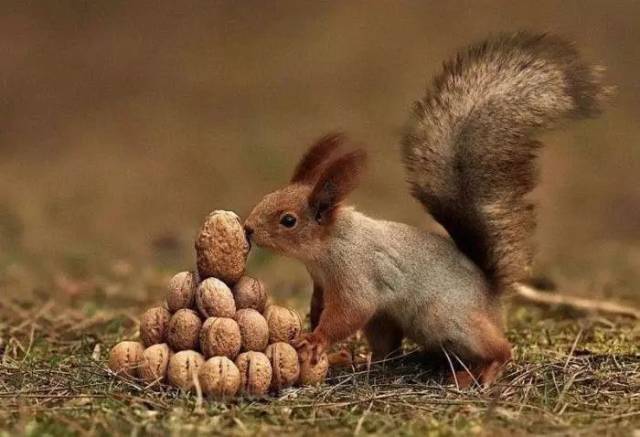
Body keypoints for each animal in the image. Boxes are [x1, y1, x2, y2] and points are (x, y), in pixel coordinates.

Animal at [242, 31, 608, 384]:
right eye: (271, 196)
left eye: (288, 220)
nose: (248, 229)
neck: (328, 244)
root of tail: (490, 296)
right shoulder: (320, 281)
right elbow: (320, 305)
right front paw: (313, 326)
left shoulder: (355, 273)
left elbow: (349, 311)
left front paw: (317, 339)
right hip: (387, 320)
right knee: (387, 351)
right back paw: (357, 362)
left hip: (445, 318)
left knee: (501, 349)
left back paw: (480, 374)